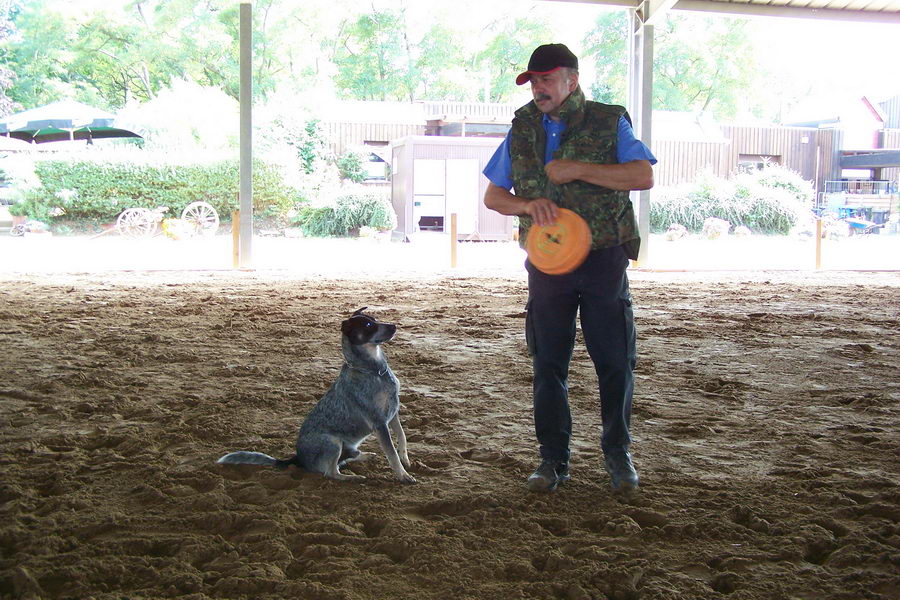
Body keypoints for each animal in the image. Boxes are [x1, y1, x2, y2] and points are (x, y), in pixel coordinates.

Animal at [216, 308, 416, 486]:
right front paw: (403, 475)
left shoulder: (393, 412)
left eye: (374, 319)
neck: (375, 371)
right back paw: (354, 478)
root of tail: (298, 459)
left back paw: (365, 456)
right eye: (368, 325)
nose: (393, 326)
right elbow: (391, 453)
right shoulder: (379, 422)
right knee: (331, 472)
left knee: (349, 457)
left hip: (345, 446)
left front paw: (404, 457)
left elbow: (402, 435)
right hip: (332, 442)